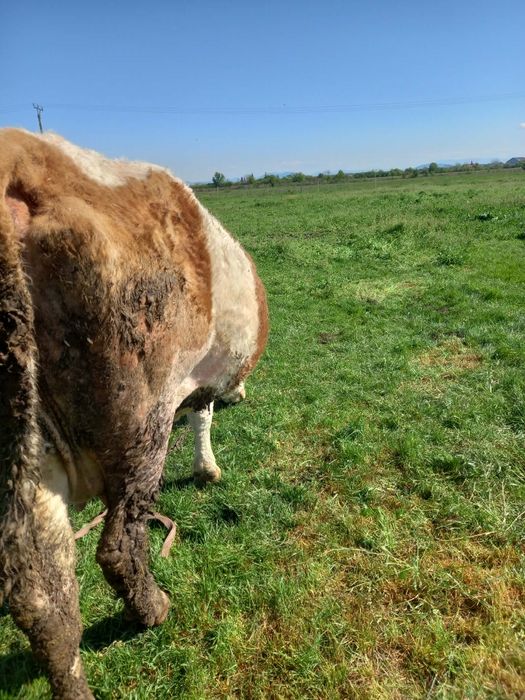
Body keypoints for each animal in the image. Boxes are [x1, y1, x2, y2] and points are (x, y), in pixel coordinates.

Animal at [0, 128, 268, 699]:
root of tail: (21, 156)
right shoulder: (187, 387)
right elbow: (203, 415)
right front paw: (208, 467)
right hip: (139, 424)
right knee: (118, 546)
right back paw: (153, 609)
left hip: (26, 456)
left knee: (45, 598)